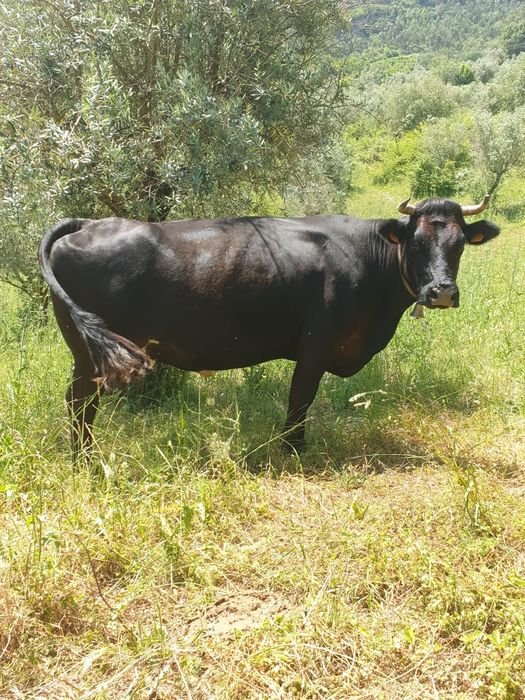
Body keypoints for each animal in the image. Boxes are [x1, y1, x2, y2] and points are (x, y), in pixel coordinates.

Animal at [38, 196, 500, 457]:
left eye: (459, 244)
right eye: (416, 243)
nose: (442, 292)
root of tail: (90, 223)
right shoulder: (315, 345)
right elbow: (300, 400)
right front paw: (293, 450)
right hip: (87, 355)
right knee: (79, 404)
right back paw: (86, 460)